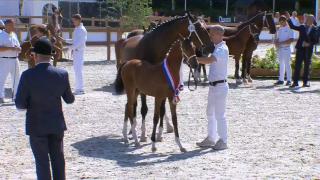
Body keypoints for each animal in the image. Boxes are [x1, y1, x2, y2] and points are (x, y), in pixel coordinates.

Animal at [114, 12, 211, 142]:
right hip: (134, 87)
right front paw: (143, 134)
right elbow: (144, 109)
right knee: (131, 106)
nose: (211, 47)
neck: (153, 47)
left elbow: (162, 109)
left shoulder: (164, 84)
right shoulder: (145, 85)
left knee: (131, 105)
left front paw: (159, 134)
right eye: (199, 27)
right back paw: (130, 130)